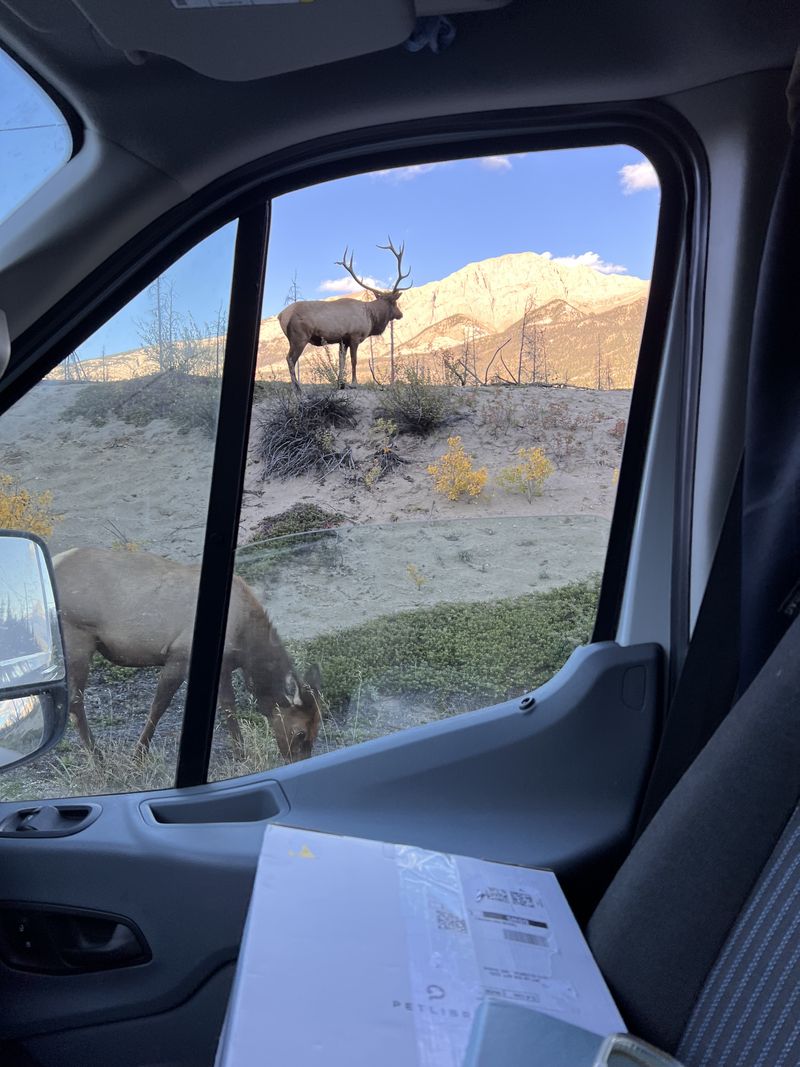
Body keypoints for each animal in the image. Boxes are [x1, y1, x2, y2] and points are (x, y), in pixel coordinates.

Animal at [51, 546, 322, 763]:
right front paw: (138, 755)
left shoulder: (224, 666)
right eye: (300, 732)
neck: (245, 640)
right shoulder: (180, 656)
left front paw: (240, 753)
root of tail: (54, 560)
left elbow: (228, 707)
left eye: (318, 727)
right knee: (75, 701)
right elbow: (158, 706)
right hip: (77, 639)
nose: (296, 761)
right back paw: (98, 757)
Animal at [279, 237, 413, 392]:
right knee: (290, 359)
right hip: (299, 337)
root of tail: (281, 316)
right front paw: (354, 383)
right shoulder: (354, 336)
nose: (400, 314)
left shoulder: (343, 340)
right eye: (395, 303)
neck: (371, 318)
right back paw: (297, 388)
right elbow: (354, 360)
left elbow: (342, 360)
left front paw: (341, 383)